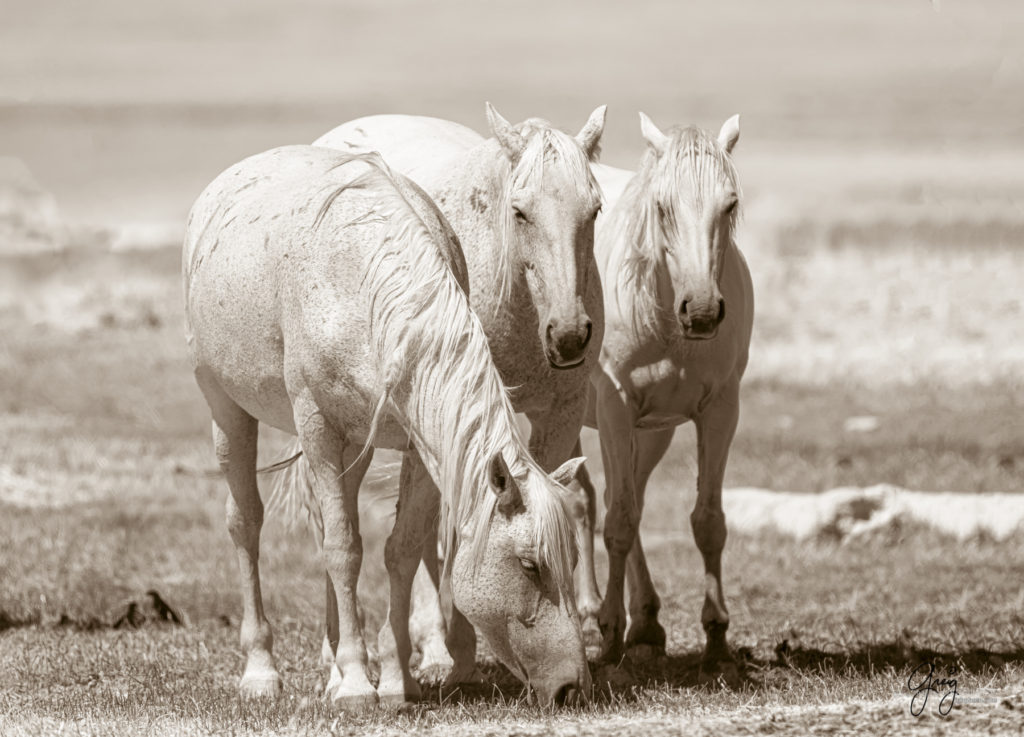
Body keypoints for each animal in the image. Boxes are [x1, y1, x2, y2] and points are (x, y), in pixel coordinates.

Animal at [180, 145, 589, 708]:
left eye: (573, 558)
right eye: (530, 565)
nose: (574, 687)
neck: (364, 284)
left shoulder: (420, 446)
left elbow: (402, 549)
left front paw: (395, 678)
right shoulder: (318, 427)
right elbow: (344, 550)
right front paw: (356, 682)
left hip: (356, 447)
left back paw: (332, 664)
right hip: (226, 408)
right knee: (247, 523)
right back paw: (263, 670)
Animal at [307, 103, 602, 679]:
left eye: (596, 211)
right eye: (520, 212)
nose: (569, 335)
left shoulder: (558, 415)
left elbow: (558, 504)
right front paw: (460, 649)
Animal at [581, 115, 757, 679]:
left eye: (730, 204)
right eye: (662, 207)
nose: (700, 311)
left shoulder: (720, 410)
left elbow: (707, 522)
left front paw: (717, 639)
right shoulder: (614, 406)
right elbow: (618, 522)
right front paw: (609, 640)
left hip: (649, 432)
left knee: (615, 494)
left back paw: (646, 623)